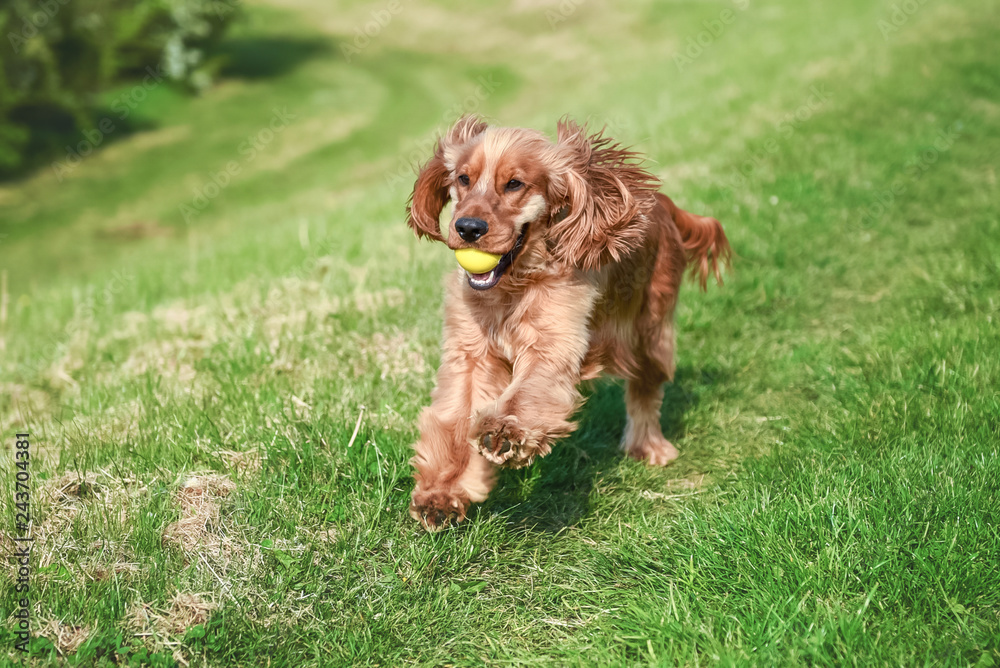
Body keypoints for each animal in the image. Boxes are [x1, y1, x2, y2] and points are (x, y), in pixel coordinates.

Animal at [404, 116, 728, 532]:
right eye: (463, 178)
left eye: (515, 184)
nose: (468, 228)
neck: (514, 285)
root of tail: (662, 203)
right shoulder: (470, 354)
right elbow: (454, 421)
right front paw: (441, 494)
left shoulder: (553, 344)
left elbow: (529, 393)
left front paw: (505, 432)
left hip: (649, 331)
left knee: (645, 392)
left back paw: (650, 447)